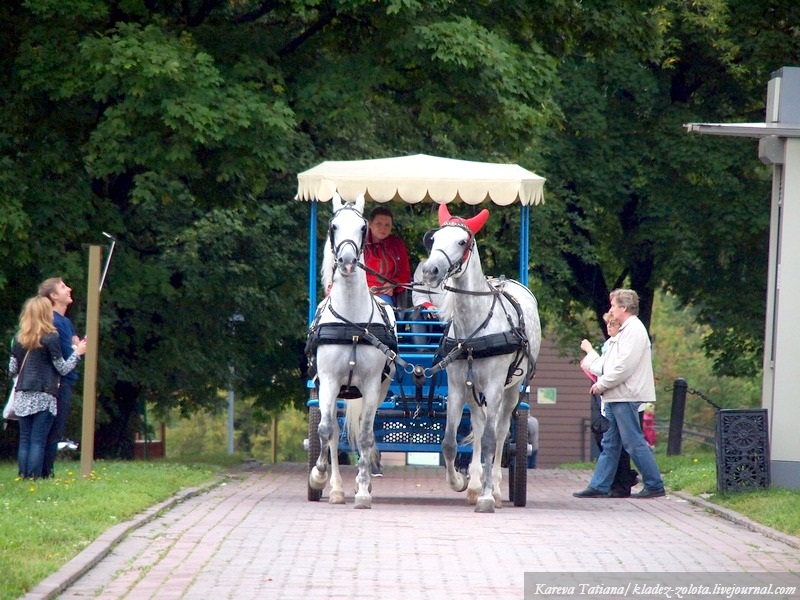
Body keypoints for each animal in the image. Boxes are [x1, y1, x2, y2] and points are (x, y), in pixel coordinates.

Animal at [306, 192, 396, 506]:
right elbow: (325, 430)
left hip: (378, 390)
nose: (346, 261)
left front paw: (363, 489)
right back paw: (334, 489)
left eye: (362, 227)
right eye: (333, 226)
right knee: (332, 432)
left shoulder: (370, 386)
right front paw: (318, 476)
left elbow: (367, 436)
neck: (353, 325)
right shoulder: (329, 382)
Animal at [422, 202, 540, 510]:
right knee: (477, 421)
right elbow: (449, 441)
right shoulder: (456, 385)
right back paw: (475, 483)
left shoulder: (496, 385)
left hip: (510, 392)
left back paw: (494, 489)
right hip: (473, 389)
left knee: (499, 432)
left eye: (462, 242)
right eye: (434, 239)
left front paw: (488, 496)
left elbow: (490, 440)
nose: (430, 270)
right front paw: (460, 482)